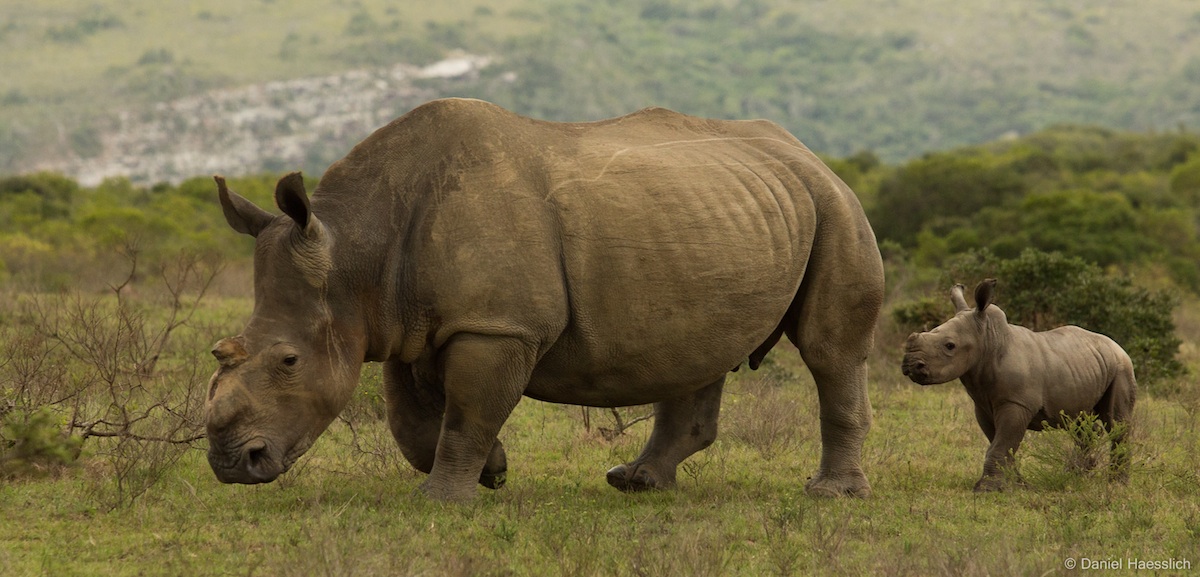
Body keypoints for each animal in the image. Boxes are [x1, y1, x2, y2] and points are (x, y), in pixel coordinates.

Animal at [205, 98, 885, 501]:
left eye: (288, 361)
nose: (231, 464)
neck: (355, 258)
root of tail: (806, 151)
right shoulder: (404, 324)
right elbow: (411, 421)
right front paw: (493, 471)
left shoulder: (497, 326)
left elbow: (467, 414)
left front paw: (444, 500)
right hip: (729, 211)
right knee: (698, 348)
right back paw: (636, 484)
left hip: (834, 204)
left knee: (830, 352)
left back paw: (832, 495)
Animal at [901, 279, 1136, 491]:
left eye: (950, 346)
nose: (910, 365)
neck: (988, 339)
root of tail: (1116, 345)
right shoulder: (983, 406)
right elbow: (1002, 443)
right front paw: (1018, 486)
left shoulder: (1016, 403)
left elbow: (1002, 443)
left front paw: (987, 489)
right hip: (1087, 366)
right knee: (1080, 422)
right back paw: (1074, 476)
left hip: (1121, 366)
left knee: (1116, 423)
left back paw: (1116, 485)